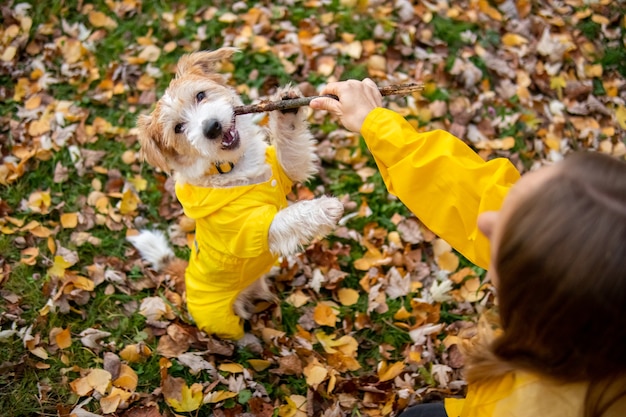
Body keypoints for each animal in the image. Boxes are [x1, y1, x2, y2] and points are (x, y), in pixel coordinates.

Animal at [126, 48, 342, 340]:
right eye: (178, 128)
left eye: (200, 95)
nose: (212, 127)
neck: (232, 167)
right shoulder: (252, 228)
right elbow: (289, 217)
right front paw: (325, 208)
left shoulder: (287, 169)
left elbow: (291, 147)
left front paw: (288, 106)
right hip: (221, 320)